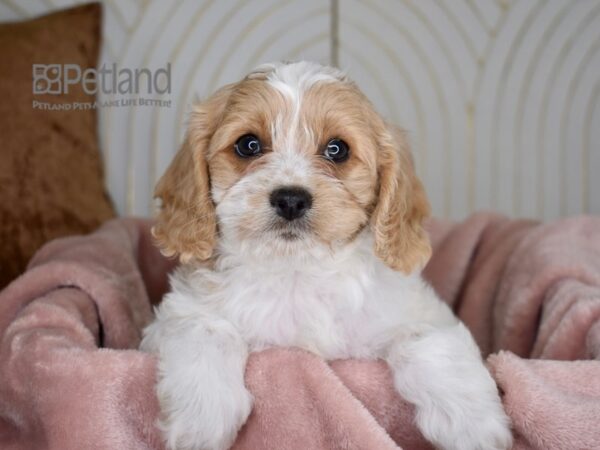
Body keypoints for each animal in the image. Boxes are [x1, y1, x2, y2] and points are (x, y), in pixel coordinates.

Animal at [141, 60, 510, 450]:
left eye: (337, 149)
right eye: (248, 145)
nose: (290, 199)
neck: (297, 272)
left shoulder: (421, 311)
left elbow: (428, 340)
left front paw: (473, 425)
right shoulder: (177, 314)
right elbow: (206, 331)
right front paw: (202, 417)